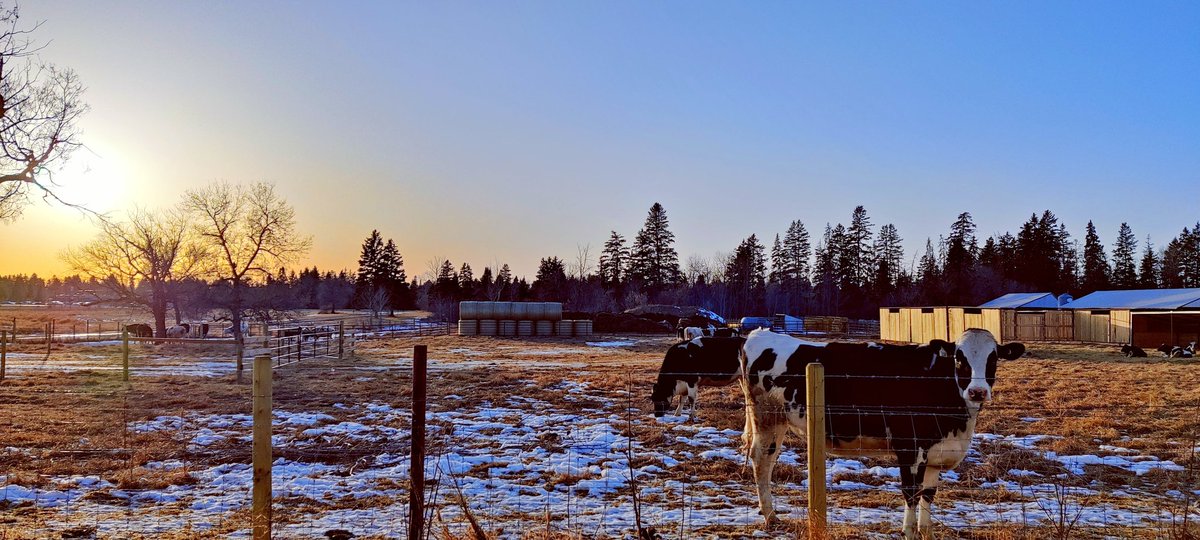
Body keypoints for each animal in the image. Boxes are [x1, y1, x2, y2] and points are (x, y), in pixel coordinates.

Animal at [734, 326, 1027, 537]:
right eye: (959, 358)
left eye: (993, 358)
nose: (977, 391)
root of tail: (759, 333)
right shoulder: (909, 446)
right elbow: (911, 491)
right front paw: (908, 531)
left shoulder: (936, 452)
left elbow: (928, 494)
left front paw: (926, 531)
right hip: (766, 418)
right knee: (761, 461)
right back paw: (770, 516)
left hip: (778, 421)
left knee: (768, 460)